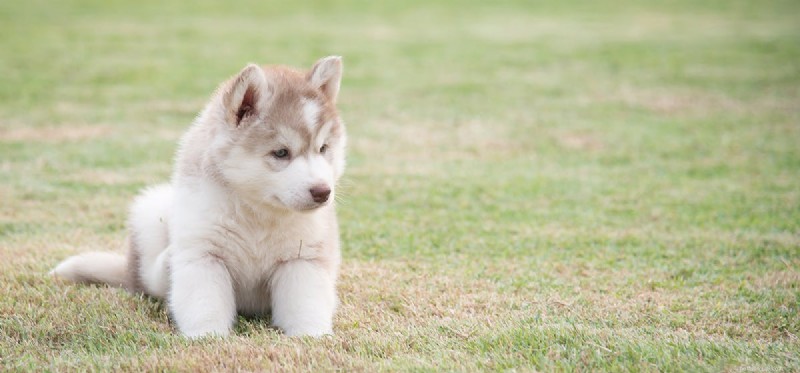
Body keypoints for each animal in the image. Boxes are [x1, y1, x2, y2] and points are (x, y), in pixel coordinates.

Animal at [50, 55, 346, 338]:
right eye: (281, 152)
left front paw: (311, 337)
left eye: (323, 149)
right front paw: (206, 338)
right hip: (153, 211)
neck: (256, 211)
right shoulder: (204, 256)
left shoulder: (302, 259)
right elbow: (205, 304)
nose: (323, 192)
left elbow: (305, 304)